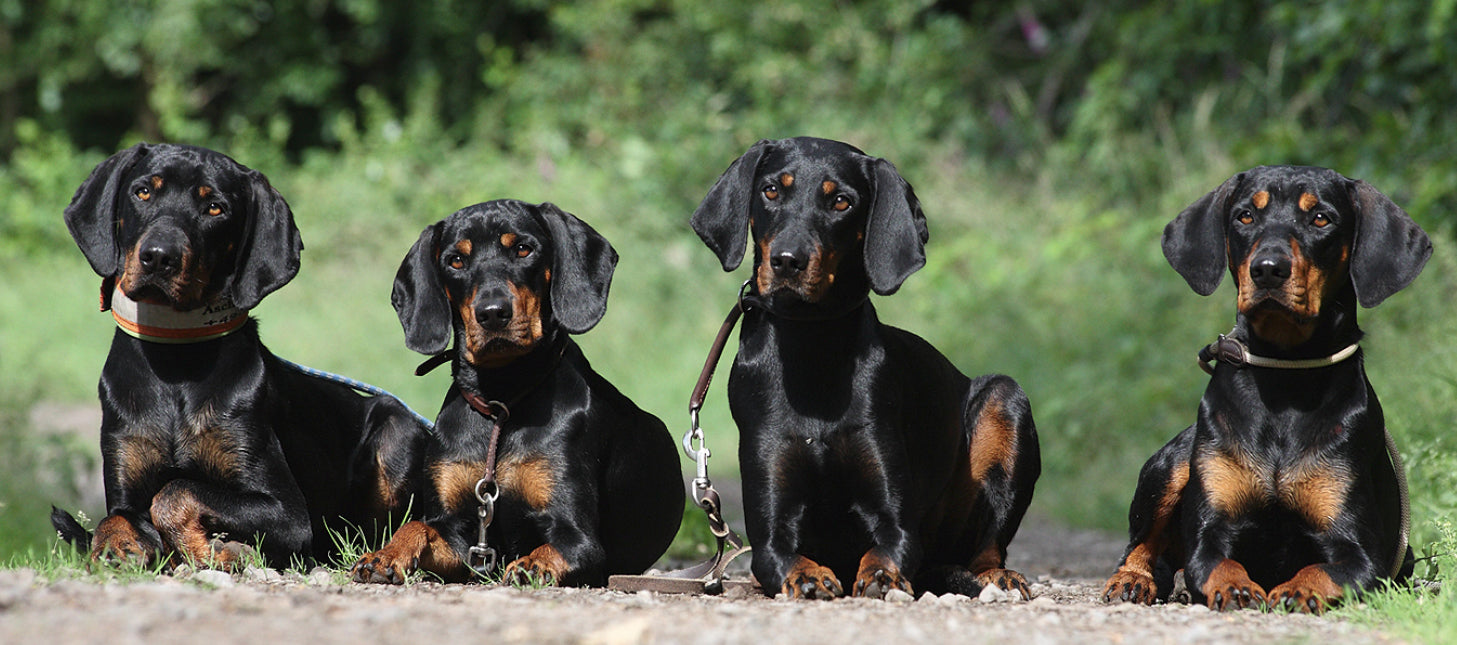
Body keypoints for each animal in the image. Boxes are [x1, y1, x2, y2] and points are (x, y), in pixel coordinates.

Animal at [53, 142, 428, 570]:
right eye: (143, 192)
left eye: (215, 208)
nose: (159, 256)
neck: (175, 360)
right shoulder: (124, 480)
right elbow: (112, 519)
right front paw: (117, 547)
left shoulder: (288, 514)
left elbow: (175, 491)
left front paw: (213, 549)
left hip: (397, 428)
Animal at [349, 199, 684, 588]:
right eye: (456, 260)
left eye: (524, 249)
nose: (493, 313)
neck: (502, 401)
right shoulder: (459, 533)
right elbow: (417, 527)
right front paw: (385, 554)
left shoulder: (580, 540)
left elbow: (554, 550)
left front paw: (532, 565)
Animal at [690, 137, 1037, 599]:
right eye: (771, 191)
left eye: (841, 201)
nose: (786, 261)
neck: (812, 346)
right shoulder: (768, 531)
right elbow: (782, 556)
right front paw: (808, 576)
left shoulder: (897, 521)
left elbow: (885, 549)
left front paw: (880, 576)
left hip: (1005, 400)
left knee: (988, 547)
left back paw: (995, 575)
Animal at [1101, 163, 1422, 614]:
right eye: (1245, 216)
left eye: (1320, 218)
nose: (1268, 268)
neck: (1284, 377)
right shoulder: (1211, 534)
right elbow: (1220, 562)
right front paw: (1237, 588)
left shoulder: (1363, 553)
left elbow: (1322, 570)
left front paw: (1298, 589)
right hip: (1172, 464)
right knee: (1141, 546)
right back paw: (1133, 580)